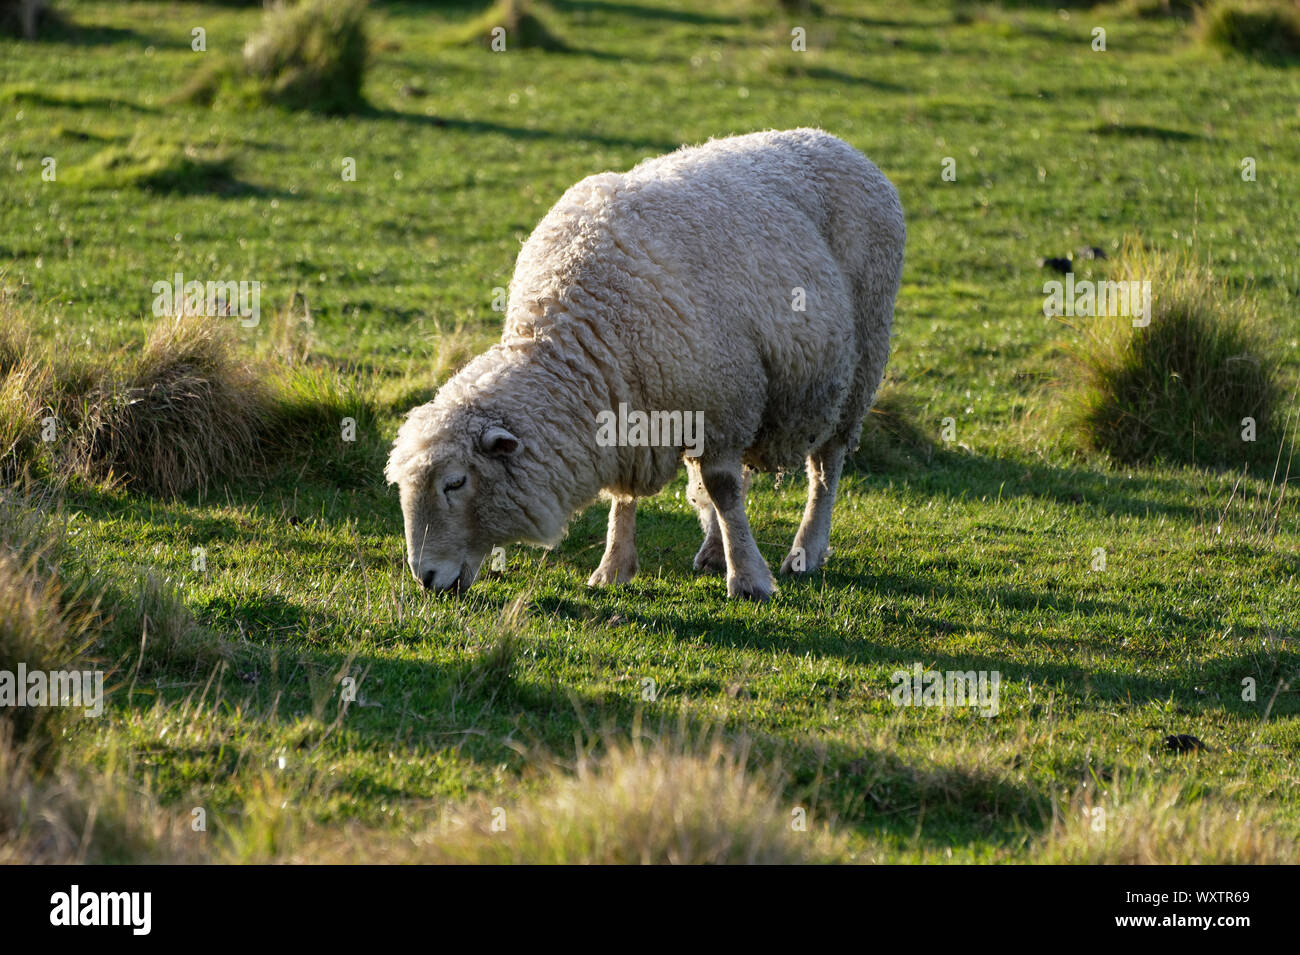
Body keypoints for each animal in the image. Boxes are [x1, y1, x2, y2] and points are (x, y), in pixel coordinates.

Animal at [386, 128, 905, 600]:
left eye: (455, 483)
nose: (426, 578)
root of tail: (837, 142)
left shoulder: (720, 405)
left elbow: (723, 488)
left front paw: (749, 579)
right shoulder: (631, 410)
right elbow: (629, 495)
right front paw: (614, 567)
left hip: (861, 365)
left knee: (825, 468)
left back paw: (806, 550)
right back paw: (714, 550)